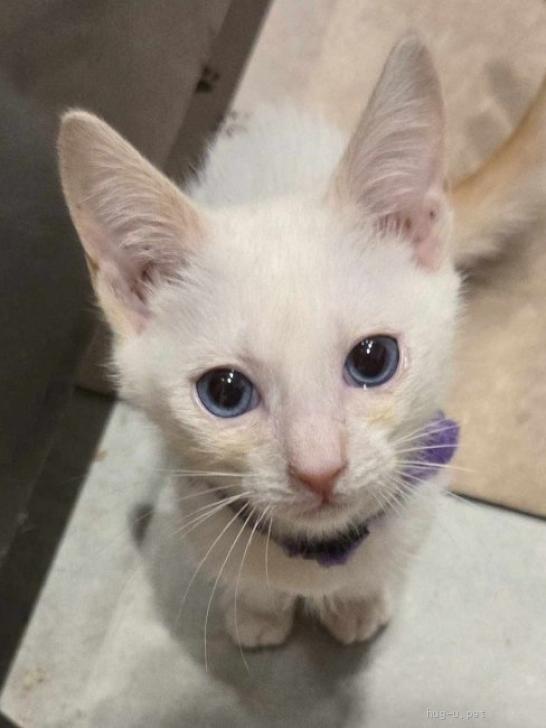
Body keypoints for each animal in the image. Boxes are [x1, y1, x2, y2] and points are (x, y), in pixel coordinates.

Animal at [57, 35, 546, 647]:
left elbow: (375, 570)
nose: (319, 469)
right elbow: (251, 581)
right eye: (225, 392)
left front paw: (357, 603)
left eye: (374, 359)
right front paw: (260, 612)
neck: (321, 555)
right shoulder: (200, 507)